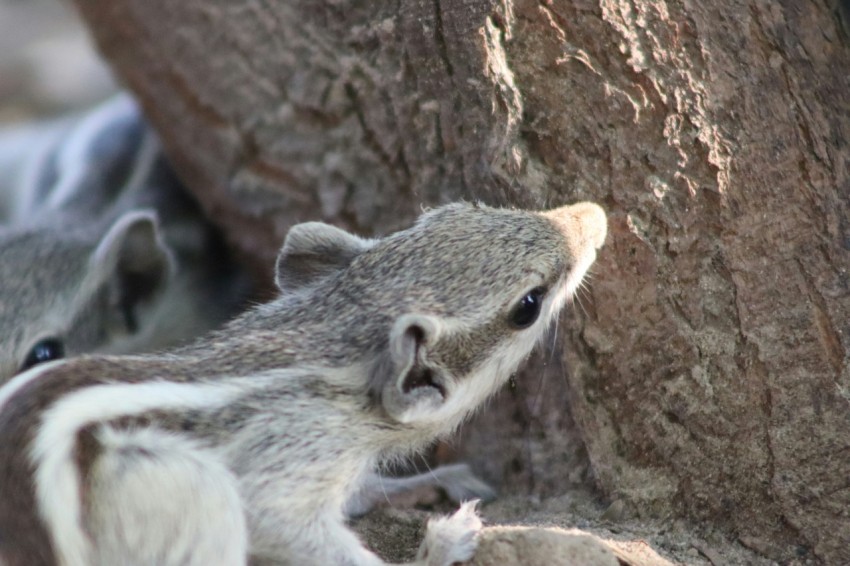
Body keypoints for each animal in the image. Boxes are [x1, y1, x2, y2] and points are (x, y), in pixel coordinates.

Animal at [0, 200, 608, 566]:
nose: (595, 215)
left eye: (457, 210)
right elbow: (296, 530)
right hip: (193, 495)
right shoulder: (293, 456)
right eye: (528, 305)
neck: (328, 336)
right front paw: (441, 544)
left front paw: (430, 482)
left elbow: (362, 490)